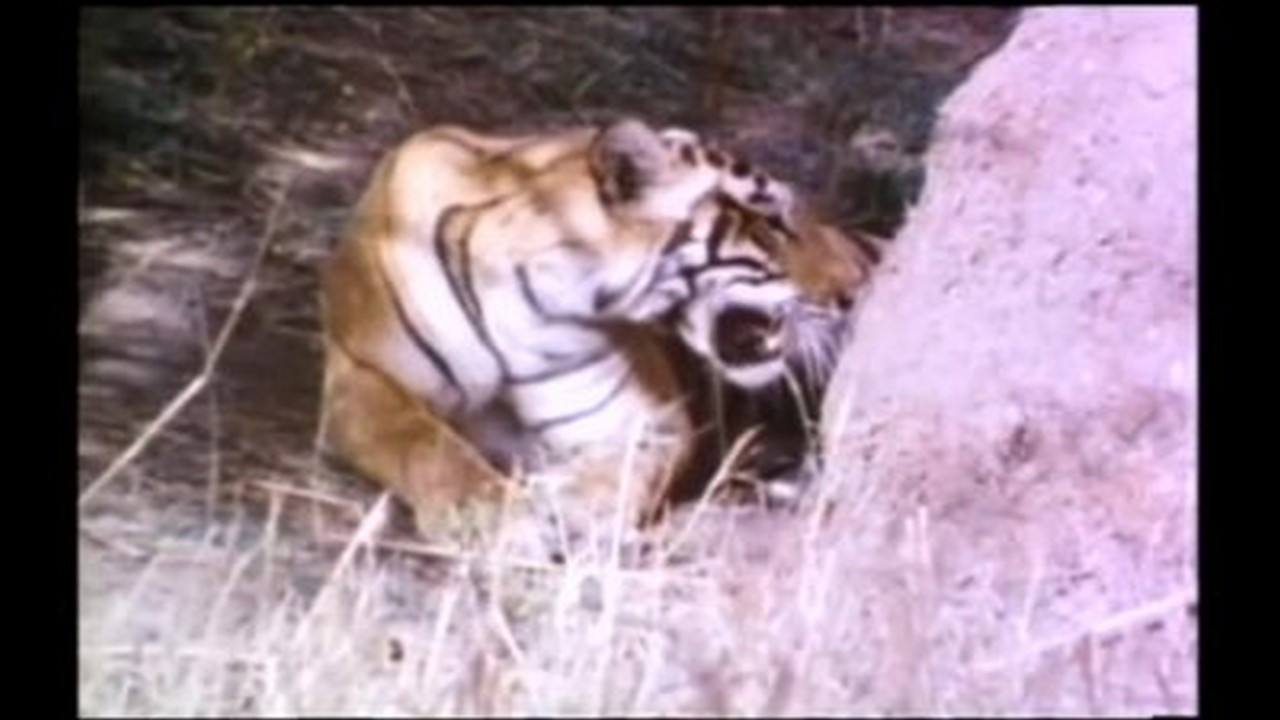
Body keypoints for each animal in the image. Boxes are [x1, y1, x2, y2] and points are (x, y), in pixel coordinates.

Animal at [319, 118, 875, 546]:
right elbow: (425, 445)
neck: (542, 288)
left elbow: (626, 471)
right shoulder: (360, 374)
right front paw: (499, 520)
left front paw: (566, 504)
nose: (859, 289)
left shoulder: (652, 419)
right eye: (769, 220)